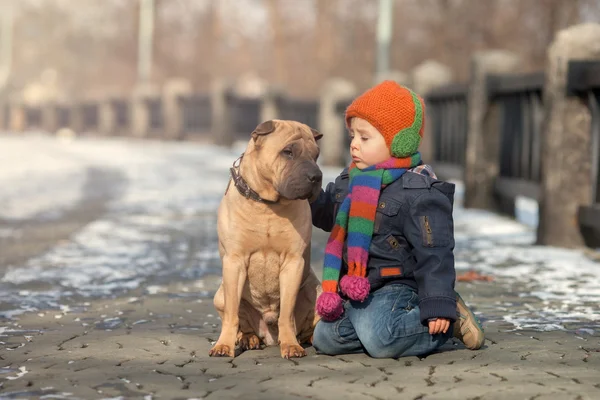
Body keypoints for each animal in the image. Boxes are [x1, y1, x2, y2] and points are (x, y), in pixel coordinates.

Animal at [210, 119, 324, 360]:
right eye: (288, 152)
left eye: (316, 155)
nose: (316, 176)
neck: (267, 206)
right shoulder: (234, 261)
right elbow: (232, 314)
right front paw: (223, 346)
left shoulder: (293, 262)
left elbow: (287, 313)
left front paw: (291, 346)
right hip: (220, 295)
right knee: (241, 321)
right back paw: (247, 338)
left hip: (318, 292)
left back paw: (309, 338)